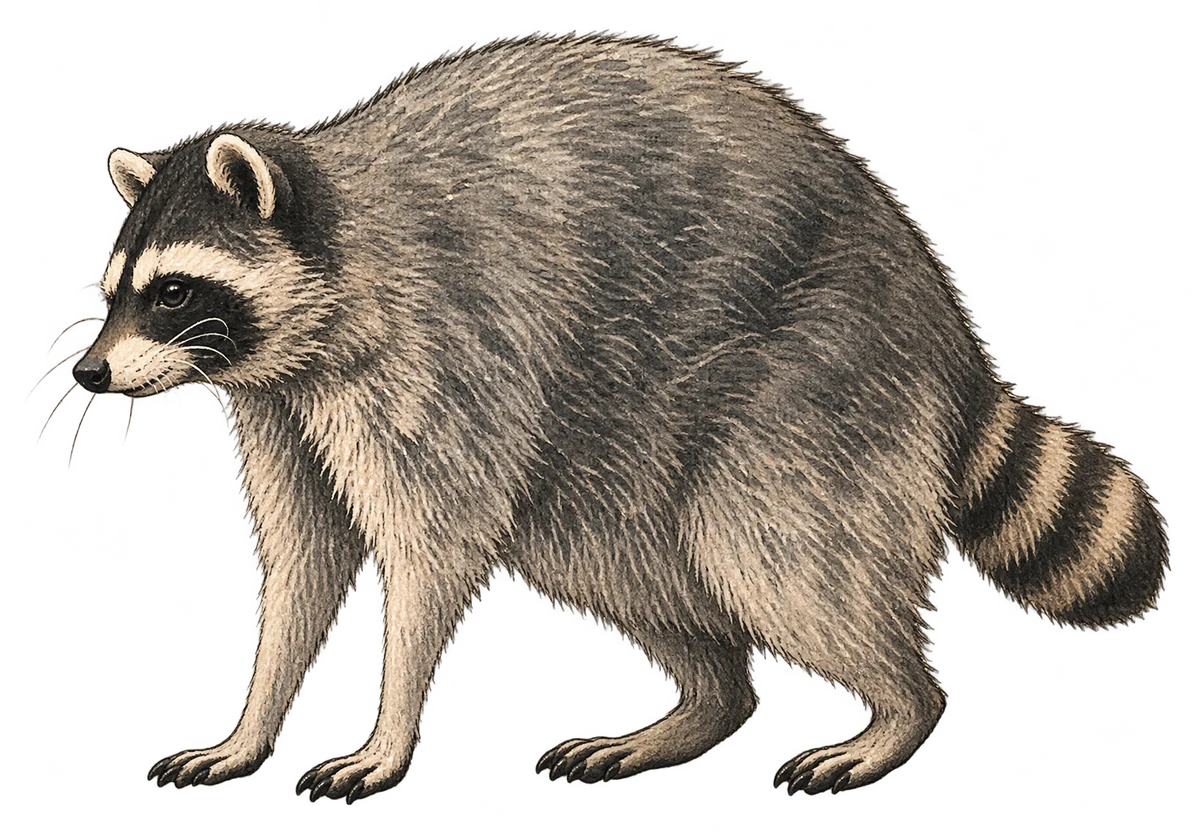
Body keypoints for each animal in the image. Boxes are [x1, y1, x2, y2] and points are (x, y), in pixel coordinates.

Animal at [46, 30, 1169, 802]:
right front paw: (250, 721)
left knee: (778, 551)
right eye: (108, 291)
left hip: (811, 382)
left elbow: (430, 555)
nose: (94, 373)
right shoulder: (276, 406)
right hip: (618, 441)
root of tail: (947, 321)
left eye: (174, 293)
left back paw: (899, 705)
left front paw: (390, 726)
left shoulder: (449, 353)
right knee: (614, 557)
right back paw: (705, 702)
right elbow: (303, 561)